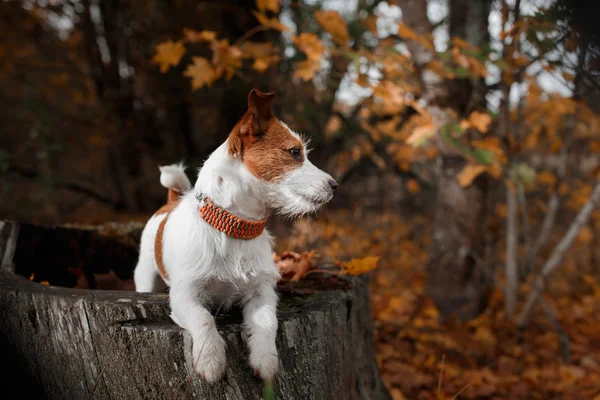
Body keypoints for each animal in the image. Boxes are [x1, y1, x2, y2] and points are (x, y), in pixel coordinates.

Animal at [132, 89, 338, 382]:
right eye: (295, 152)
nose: (334, 185)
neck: (235, 228)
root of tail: (170, 201)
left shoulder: (262, 292)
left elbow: (267, 322)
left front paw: (265, 360)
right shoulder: (184, 296)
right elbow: (204, 319)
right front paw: (210, 360)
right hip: (145, 274)